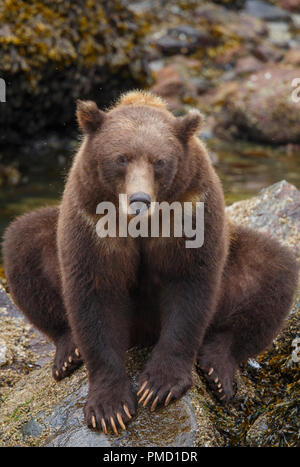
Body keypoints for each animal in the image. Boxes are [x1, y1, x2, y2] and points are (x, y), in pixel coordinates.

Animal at [1, 91, 298, 438]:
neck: (141, 223)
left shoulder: (192, 211)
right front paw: (109, 407)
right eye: (121, 158)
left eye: (159, 161)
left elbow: (190, 288)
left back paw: (217, 368)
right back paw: (68, 351)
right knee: (24, 240)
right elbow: (95, 293)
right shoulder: (91, 220)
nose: (139, 200)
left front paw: (159, 385)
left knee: (272, 267)